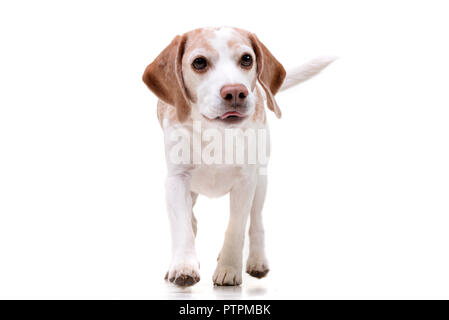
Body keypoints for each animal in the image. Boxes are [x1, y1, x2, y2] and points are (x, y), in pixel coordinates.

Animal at [142, 27, 334, 286]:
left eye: (246, 59)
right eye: (199, 62)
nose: (235, 91)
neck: (216, 134)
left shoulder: (246, 182)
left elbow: (236, 228)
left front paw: (229, 268)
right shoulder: (177, 181)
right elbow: (183, 227)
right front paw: (184, 265)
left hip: (261, 182)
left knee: (256, 223)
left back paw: (256, 260)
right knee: (193, 221)